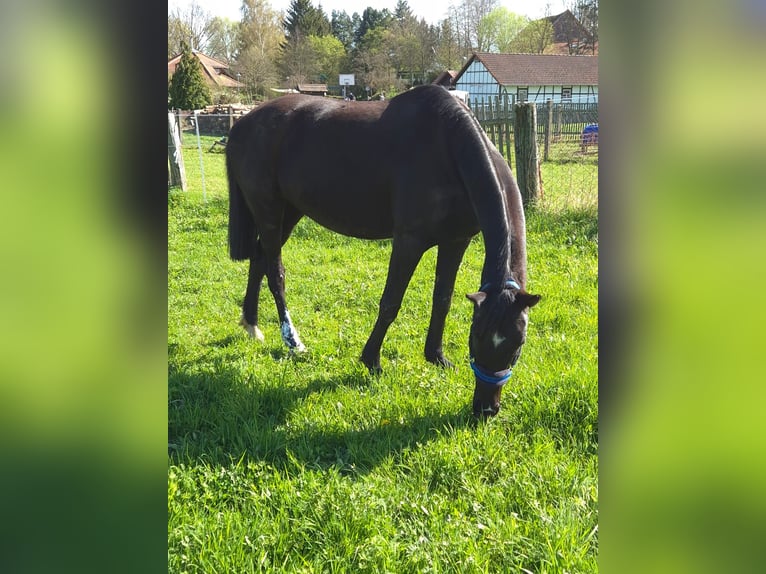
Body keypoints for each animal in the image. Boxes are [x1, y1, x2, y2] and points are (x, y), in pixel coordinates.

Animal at [225, 85, 544, 418]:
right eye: (476, 336)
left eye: (518, 343)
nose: (485, 409)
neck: (449, 149)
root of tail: (241, 125)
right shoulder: (408, 241)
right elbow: (391, 302)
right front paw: (371, 361)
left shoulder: (456, 241)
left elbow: (442, 300)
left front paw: (436, 356)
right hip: (269, 212)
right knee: (275, 272)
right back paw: (292, 340)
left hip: (289, 212)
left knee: (259, 260)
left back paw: (251, 325)